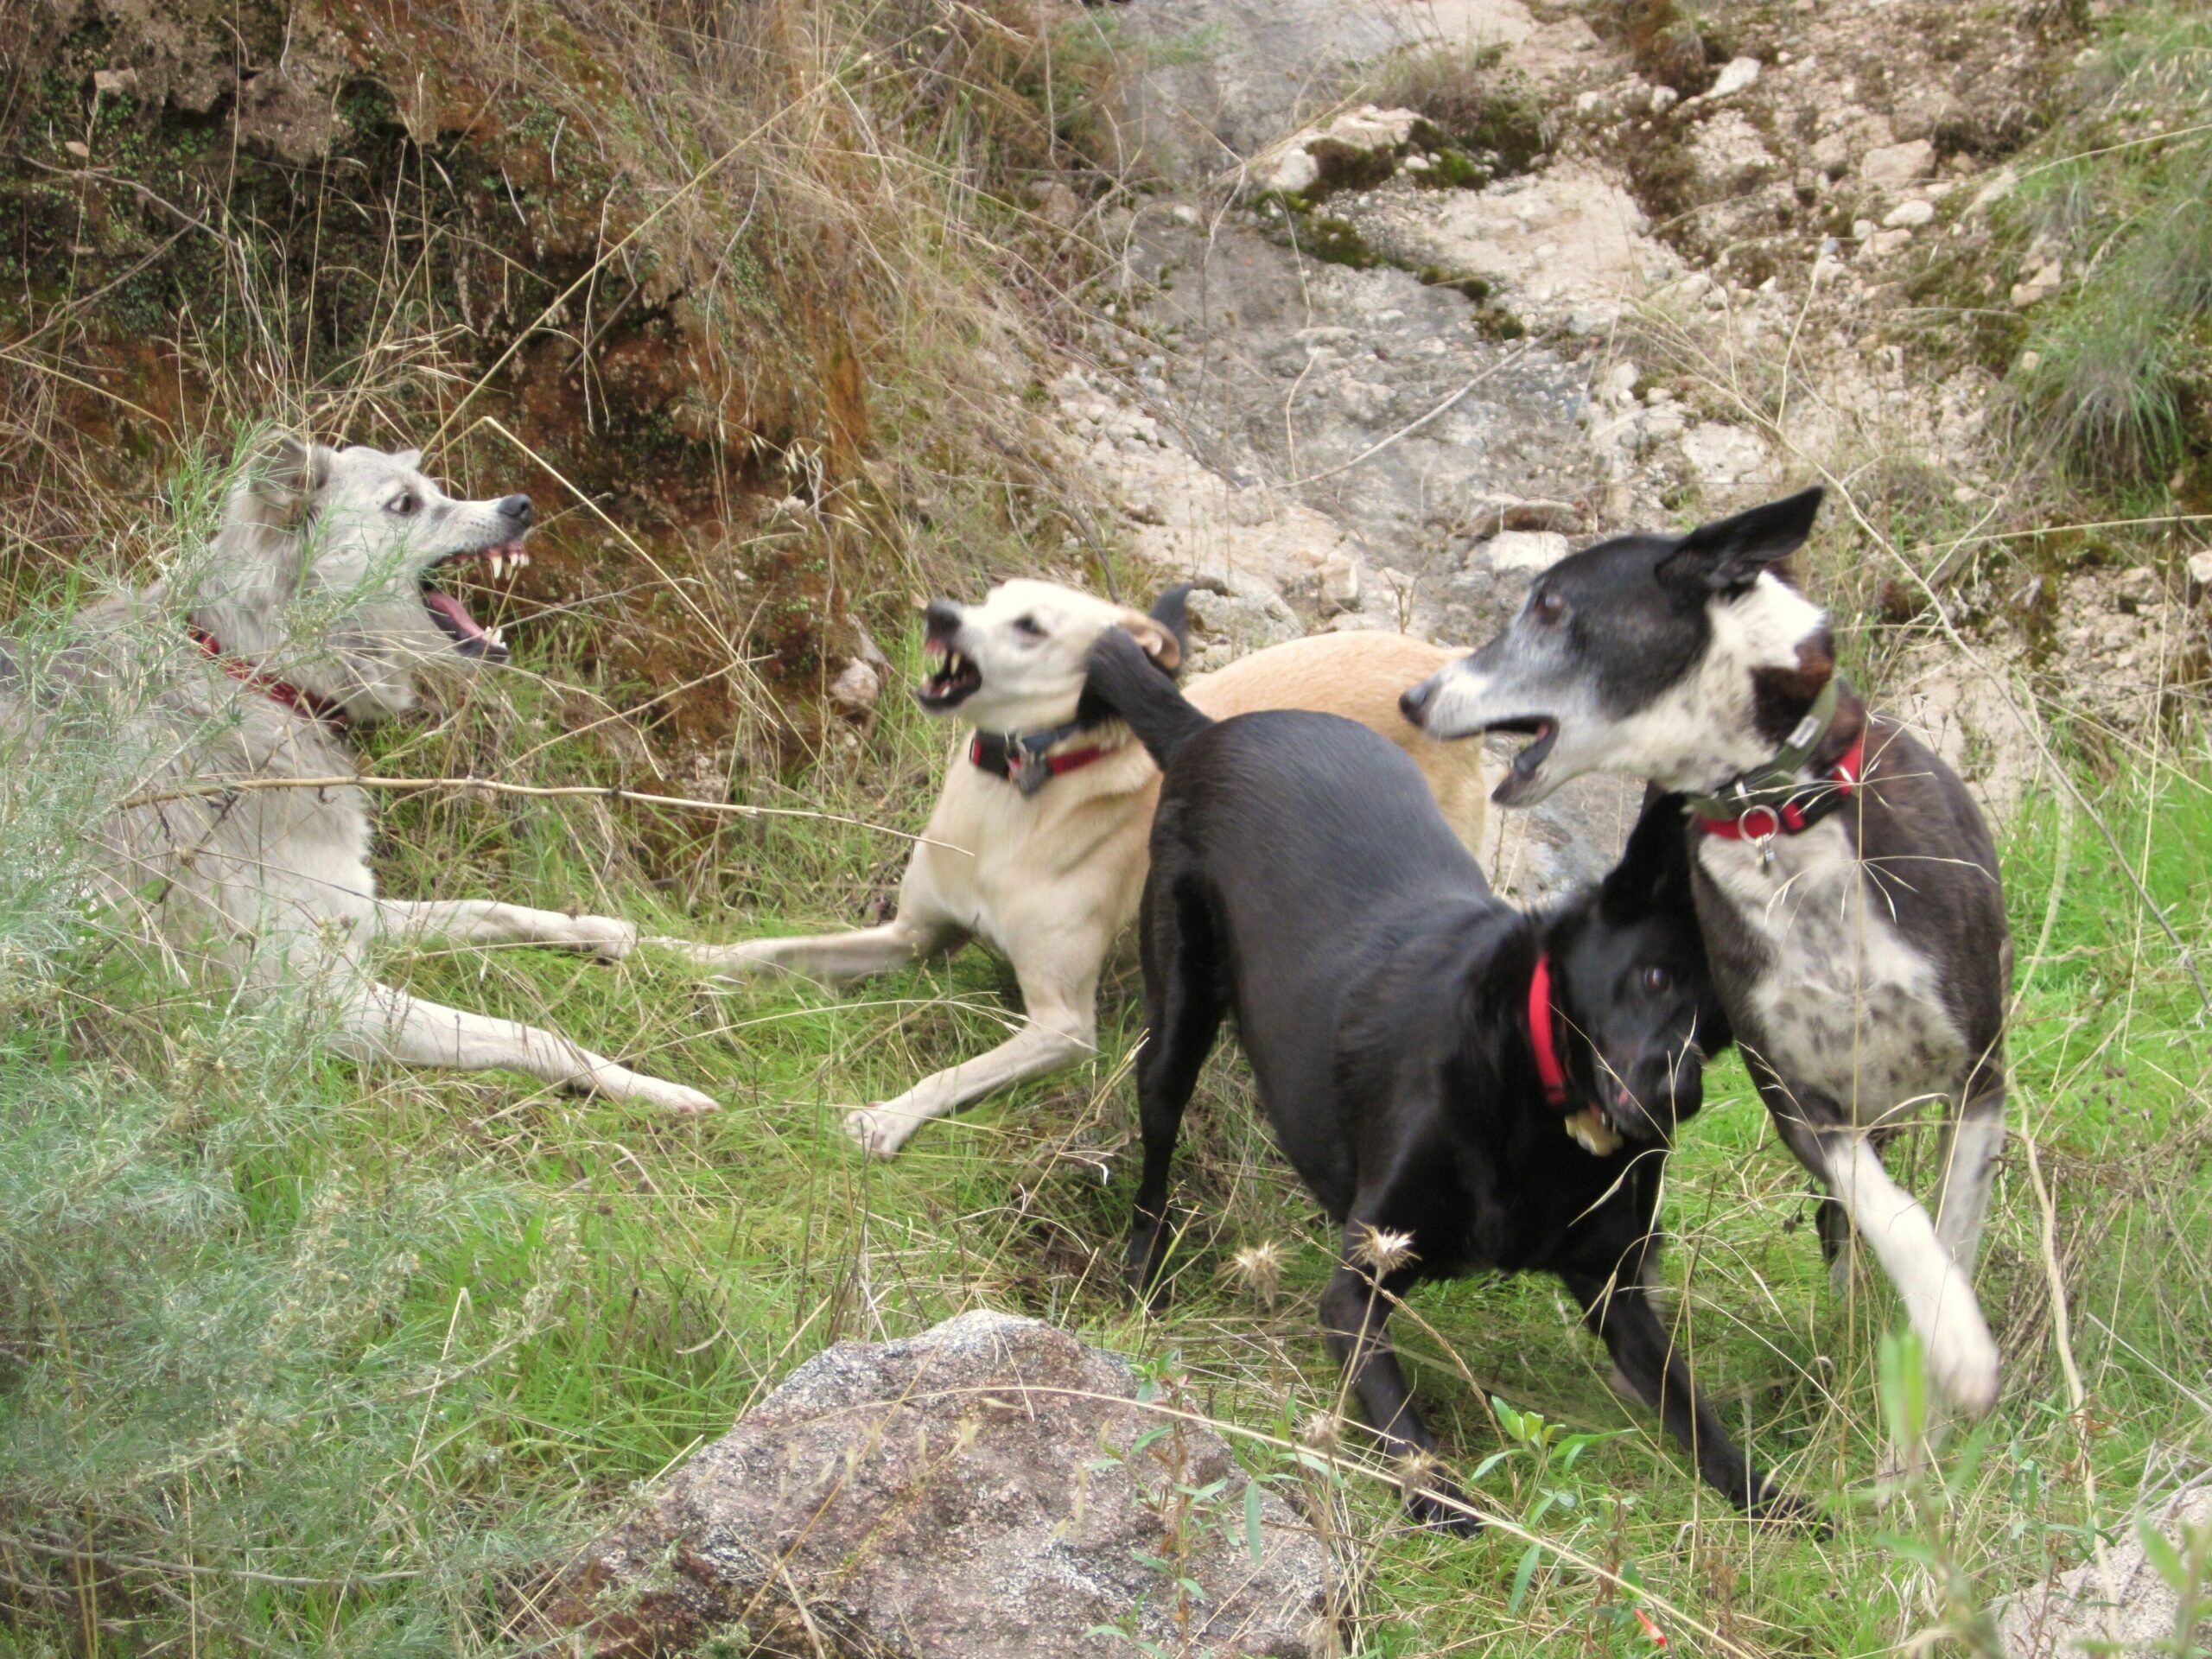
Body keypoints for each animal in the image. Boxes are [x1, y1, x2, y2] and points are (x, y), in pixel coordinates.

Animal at [3, 436, 717, 1114]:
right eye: (405, 504)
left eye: (438, 490)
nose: (521, 505)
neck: (257, 673)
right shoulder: (314, 1000)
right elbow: (537, 1035)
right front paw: (650, 1088)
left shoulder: (358, 909)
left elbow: (503, 910)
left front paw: (647, 942)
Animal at [671, 579, 1487, 1156]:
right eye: (986, 597)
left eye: (1031, 626)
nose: (939, 612)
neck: (1014, 795)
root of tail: (1433, 661)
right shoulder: (909, 938)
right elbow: (765, 950)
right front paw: (667, 949)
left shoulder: (1062, 1027)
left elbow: (950, 1074)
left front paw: (885, 1117)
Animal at [1081, 625, 1808, 1528]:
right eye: (1653, 978)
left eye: (1723, 1028)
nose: (1677, 1096)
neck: (1538, 1096)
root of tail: (1208, 729)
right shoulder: (1357, 1288)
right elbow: (1403, 1425)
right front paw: (1448, 1502)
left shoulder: (1618, 1291)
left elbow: (1693, 1412)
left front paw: (1770, 1499)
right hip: (1177, 1014)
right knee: (1157, 1147)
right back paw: (1141, 1273)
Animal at [1399, 486, 2011, 1417]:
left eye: (1551, 606)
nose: (1415, 696)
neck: (1770, 814)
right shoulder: (1802, 1103)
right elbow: (1892, 1213)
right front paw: (1949, 1346)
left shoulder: (1979, 1078)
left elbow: (1951, 1226)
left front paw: (1953, 1364)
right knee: (1838, 1224)